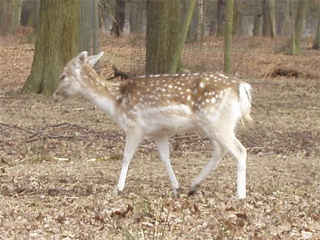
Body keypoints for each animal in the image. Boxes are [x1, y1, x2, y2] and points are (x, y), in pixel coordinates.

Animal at [52, 51, 252, 199]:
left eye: (63, 75)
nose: (54, 96)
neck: (115, 103)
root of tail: (242, 87)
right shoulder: (159, 132)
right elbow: (165, 157)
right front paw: (176, 188)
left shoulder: (134, 126)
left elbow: (127, 156)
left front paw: (117, 189)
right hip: (217, 124)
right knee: (220, 150)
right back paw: (193, 186)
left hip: (217, 122)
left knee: (240, 150)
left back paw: (240, 195)